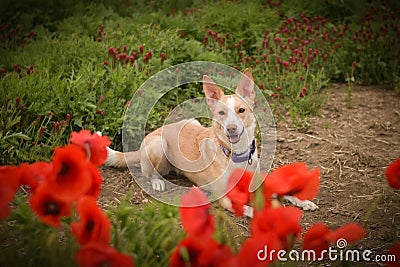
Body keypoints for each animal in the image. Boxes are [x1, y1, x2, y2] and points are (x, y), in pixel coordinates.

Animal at [104, 69, 318, 218]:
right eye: (221, 113)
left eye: (241, 110)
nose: (231, 128)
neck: (237, 154)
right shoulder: (226, 197)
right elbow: (251, 209)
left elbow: (282, 191)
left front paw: (303, 201)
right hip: (159, 144)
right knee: (148, 173)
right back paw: (157, 182)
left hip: (191, 122)